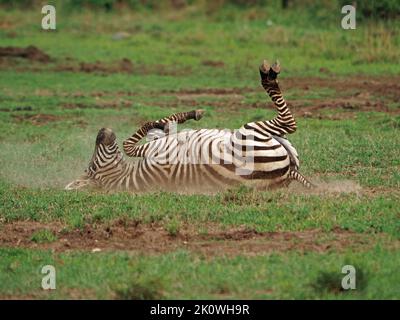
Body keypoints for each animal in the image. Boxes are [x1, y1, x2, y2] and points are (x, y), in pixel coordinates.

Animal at [65, 61, 312, 194]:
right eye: (92, 167)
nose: (102, 131)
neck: (128, 176)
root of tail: (289, 173)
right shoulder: (151, 149)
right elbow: (129, 143)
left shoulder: (156, 142)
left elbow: (159, 125)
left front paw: (189, 115)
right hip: (248, 133)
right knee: (288, 123)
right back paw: (269, 78)